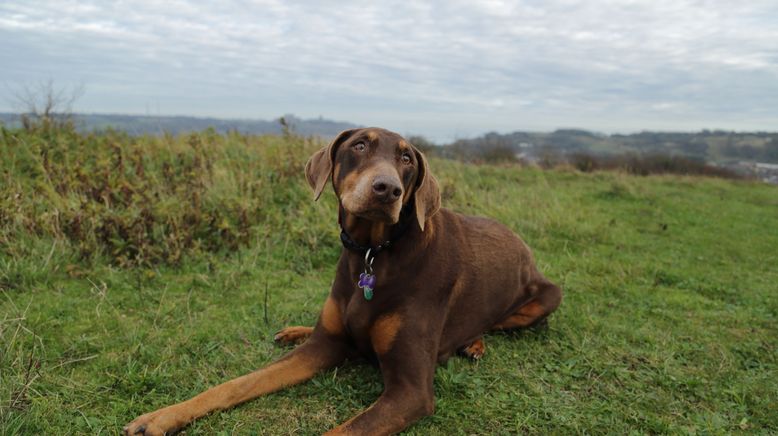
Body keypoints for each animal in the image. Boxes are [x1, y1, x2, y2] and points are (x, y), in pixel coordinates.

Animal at [123, 127, 556, 434]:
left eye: (406, 158)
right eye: (360, 146)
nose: (387, 189)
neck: (372, 253)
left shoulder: (411, 391)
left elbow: (345, 431)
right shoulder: (321, 347)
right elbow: (237, 384)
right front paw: (159, 418)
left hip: (550, 294)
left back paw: (473, 343)